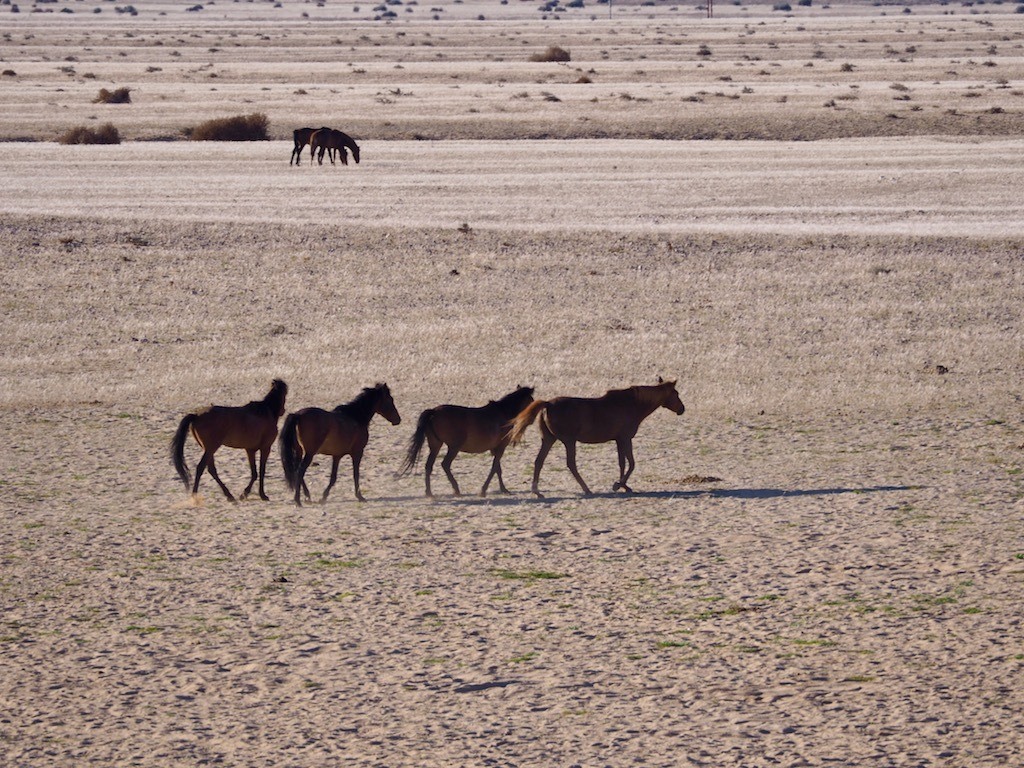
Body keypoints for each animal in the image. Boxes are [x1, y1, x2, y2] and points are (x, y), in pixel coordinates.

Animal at [399, 385, 536, 499]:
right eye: (531, 401)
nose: (532, 420)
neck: (503, 413)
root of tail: (433, 411)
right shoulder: (501, 447)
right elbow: (494, 468)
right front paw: (484, 490)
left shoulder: (495, 449)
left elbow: (498, 469)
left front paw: (503, 489)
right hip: (453, 447)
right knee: (445, 464)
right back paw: (456, 489)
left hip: (435, 445)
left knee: (429, 466)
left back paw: (429, 493)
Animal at [505, 378, 684, 499]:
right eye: (676, 393)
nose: (682, 409)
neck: (632, 405)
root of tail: (548, 404)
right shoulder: (625, 438)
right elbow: (631, 463)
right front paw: (618, 485)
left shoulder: (619, 440)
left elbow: (622, 463)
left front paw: (623, 485)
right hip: (569, 441)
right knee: (571, 464)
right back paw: (586, 489)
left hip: (549, 440)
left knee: (539, 461)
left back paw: (537, 491)